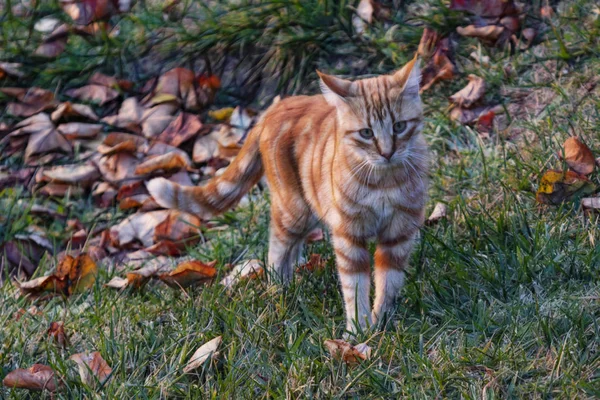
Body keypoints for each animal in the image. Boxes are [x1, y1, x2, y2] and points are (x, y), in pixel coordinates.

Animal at [150, 56, 432, 336]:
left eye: (399, 127)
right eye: (366, 133)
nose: (387, 153)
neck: (384, 181)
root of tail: (278, 105)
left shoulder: (398, 234)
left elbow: (388, 283)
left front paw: (381, 322)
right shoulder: (349, 236)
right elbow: (355, 288)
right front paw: (358, 331)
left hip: (309, 210)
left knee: (292, 246)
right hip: (294, 210)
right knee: (277, 246)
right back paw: (279, 288)